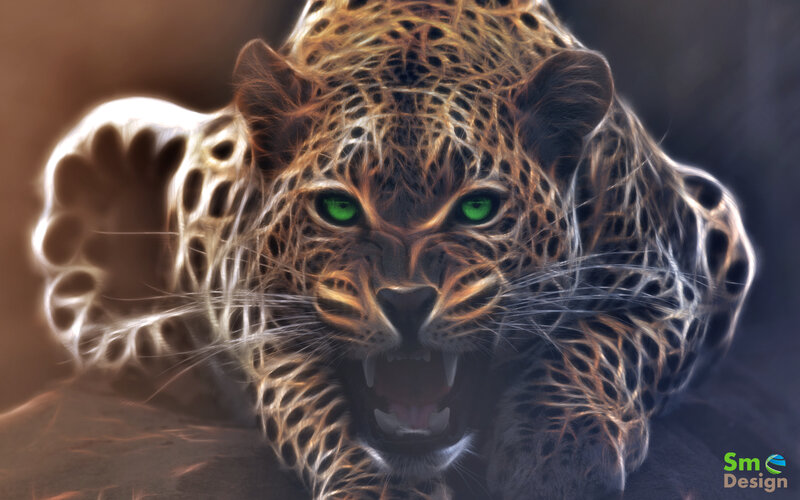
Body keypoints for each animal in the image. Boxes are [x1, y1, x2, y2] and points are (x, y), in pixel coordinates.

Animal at [32, 0, 755, 498]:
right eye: (338, 207)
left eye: (478, 207)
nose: (406, 301)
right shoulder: (256, 307)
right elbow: (310, 399)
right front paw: (378, 485)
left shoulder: (677, 271)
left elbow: (601, 345)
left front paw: (561, 455)